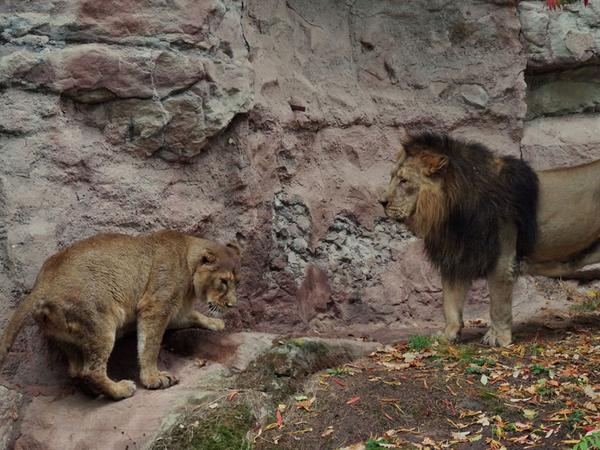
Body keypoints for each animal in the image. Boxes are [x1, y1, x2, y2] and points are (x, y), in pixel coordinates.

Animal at [0, 230, 239, 400]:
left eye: (237, 282)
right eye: (223, 281)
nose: (232, 305)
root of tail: (42, 283)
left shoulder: (174, 311)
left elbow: (194, 315)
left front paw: (216, 323)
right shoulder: (155, 305)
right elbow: (149, 346)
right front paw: (154, 378)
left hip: (66, 337)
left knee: (76, 371)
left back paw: (95, 392)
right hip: (101, 323)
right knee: (91, 370)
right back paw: (120, 390)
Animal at [382, 132, 596, 346]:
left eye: (404, 181)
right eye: (392, 177)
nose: (381, 201)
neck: (452, 212)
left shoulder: (502, 259)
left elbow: (498, 305)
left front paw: (498, 338)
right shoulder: (457, 258)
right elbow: (450, 302)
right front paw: (448, 335)